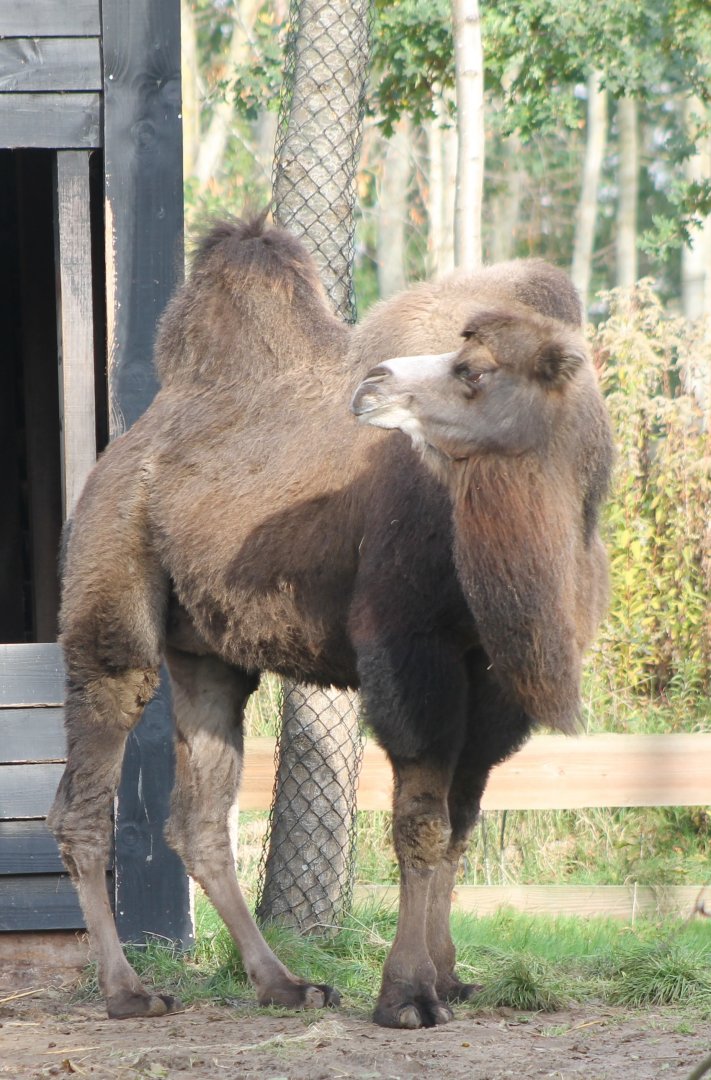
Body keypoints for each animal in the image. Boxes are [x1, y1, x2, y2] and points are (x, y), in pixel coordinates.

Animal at [48, 217, 613, 1030]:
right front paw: (408, 995)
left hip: (210, 652)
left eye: (474, 372)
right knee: (100, 740)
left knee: (200, 815)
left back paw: (283, 983)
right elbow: (422, 824)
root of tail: (131, 443)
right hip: (109, 564)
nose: (373, 384)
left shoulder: (494, 681)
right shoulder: (411, 653)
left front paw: (449, 978)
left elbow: (462, 823)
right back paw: (128, 991)